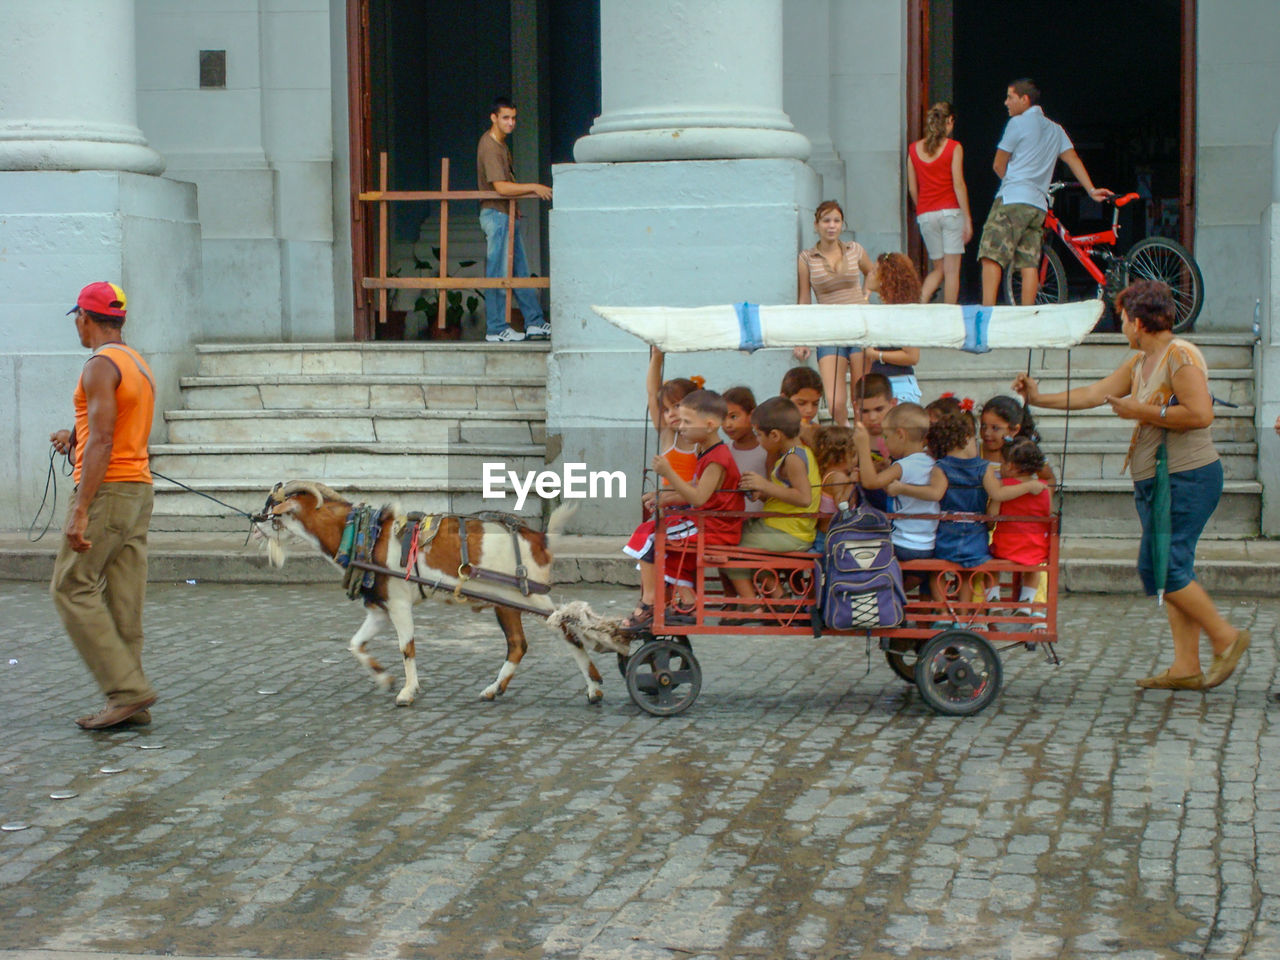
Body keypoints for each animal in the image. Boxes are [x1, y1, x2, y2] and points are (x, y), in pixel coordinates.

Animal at [250, 481, 624, 706]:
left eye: (271, 506)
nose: (253, 520)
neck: (363, 534)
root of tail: (539, 538)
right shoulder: (380, 608)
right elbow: (356, 644)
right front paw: (384, 678)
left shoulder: (400, 603)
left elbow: (407, 648)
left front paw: (406, 691)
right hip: (507, 603)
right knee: (519, 645)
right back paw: (495, 689)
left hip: (528, 594)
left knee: (566, 630)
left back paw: (594, 688)